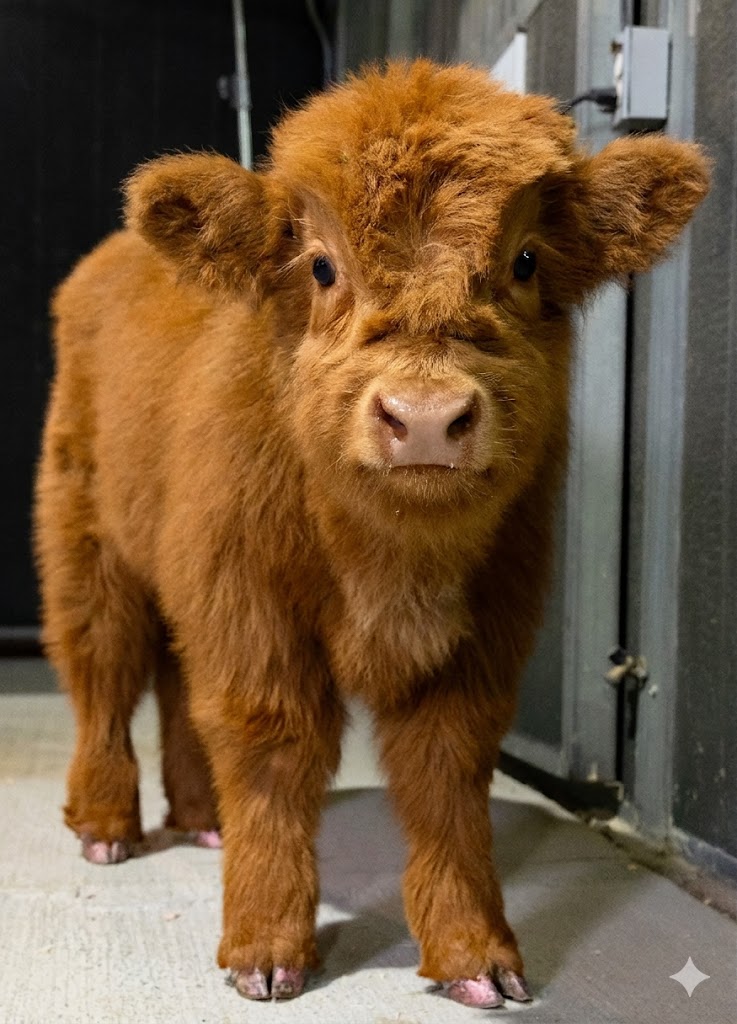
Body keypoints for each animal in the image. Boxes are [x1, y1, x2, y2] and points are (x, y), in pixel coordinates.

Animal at [35, 60, 709, 1008]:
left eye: (525, 259)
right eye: (319, 265)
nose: (424, 418)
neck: (390, 560)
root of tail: (116, 256)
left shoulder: (484, 629)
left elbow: (446, 776)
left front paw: (475, 954)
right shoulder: (253, 616)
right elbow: (272, 753)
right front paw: (266, 948)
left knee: (170, 683)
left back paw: (202, 820)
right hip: (86, 541)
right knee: (101, 671)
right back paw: (104, 825)